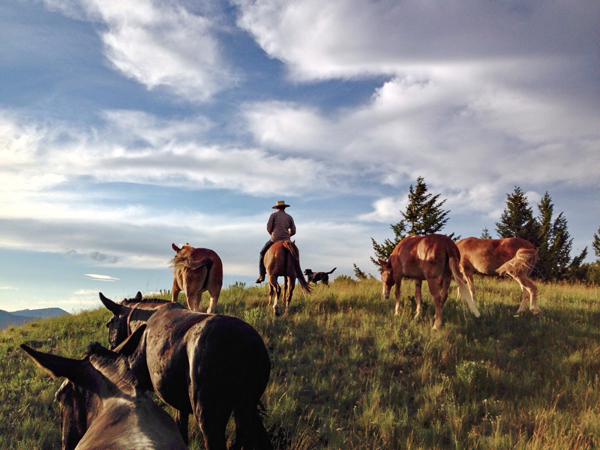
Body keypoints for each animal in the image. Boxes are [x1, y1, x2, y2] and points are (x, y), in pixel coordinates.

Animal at [99, 292, 274, 450]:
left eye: (109, 323)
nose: (111, 349)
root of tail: (248, 344)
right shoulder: (179, 403)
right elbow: (181, 430)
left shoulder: (138, 382)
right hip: (245, 406)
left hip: (209, 416)